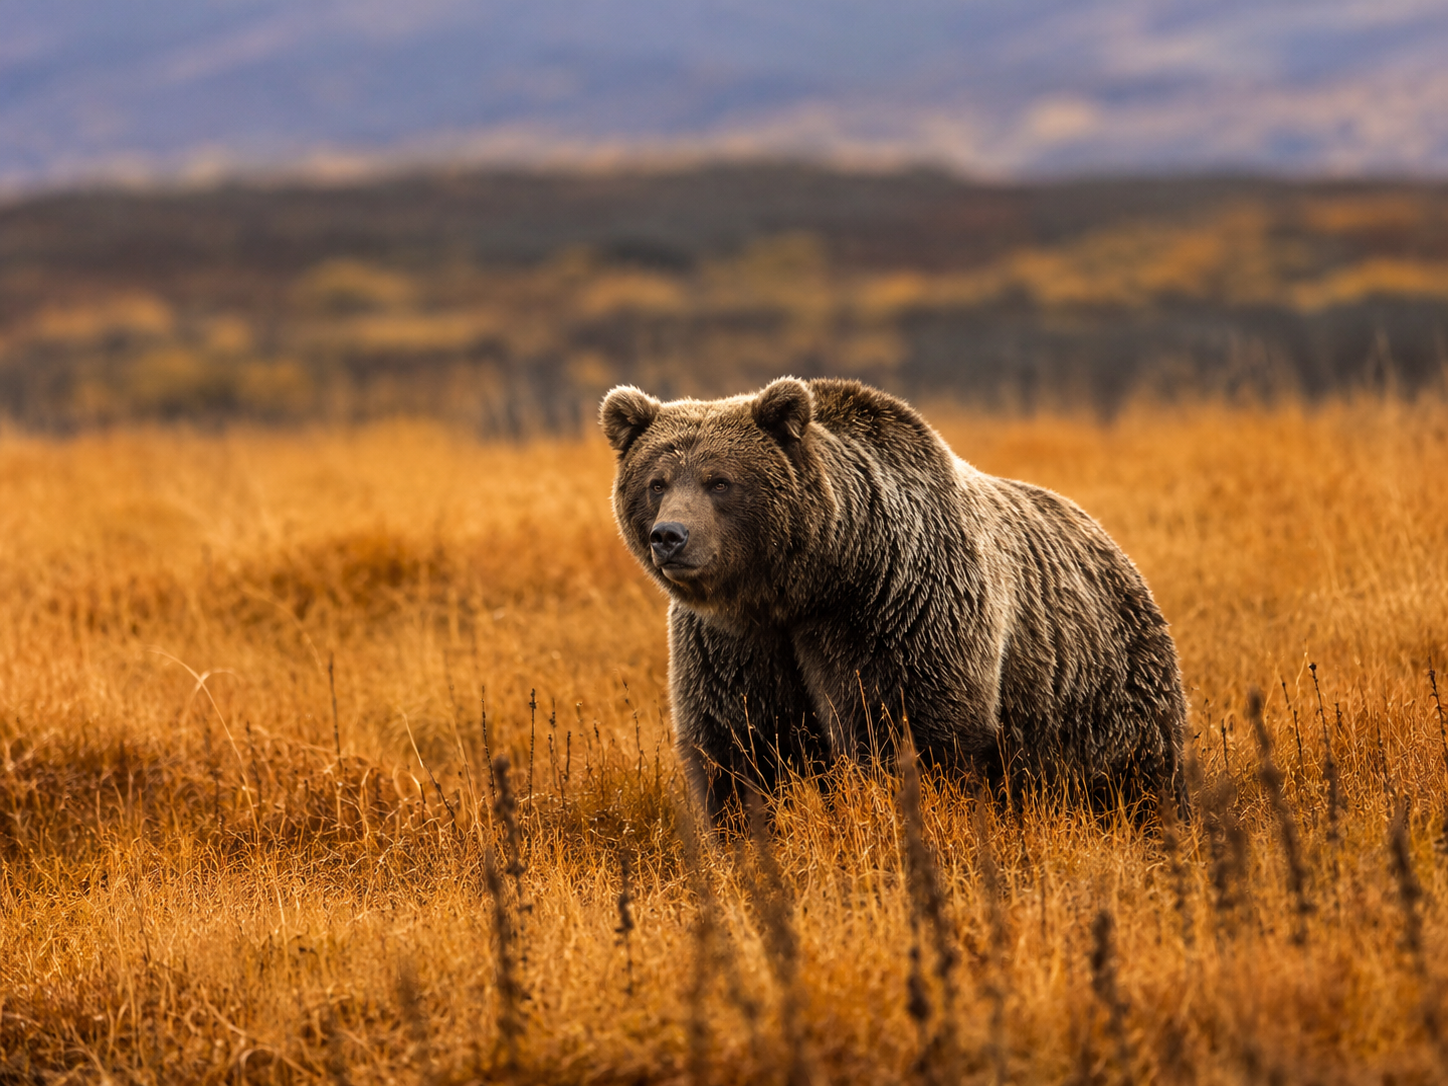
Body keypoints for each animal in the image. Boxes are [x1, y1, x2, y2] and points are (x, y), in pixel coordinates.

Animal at [600, 377, 1187, 822]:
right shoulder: (735, 643)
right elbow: (740, 746)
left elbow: (910, 730)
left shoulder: (896, 610)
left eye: (719, 481)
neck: (808, 584)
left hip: (1106, 688)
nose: (670, 536)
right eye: (657, 482)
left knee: (1139, 772)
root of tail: (1108, 542)